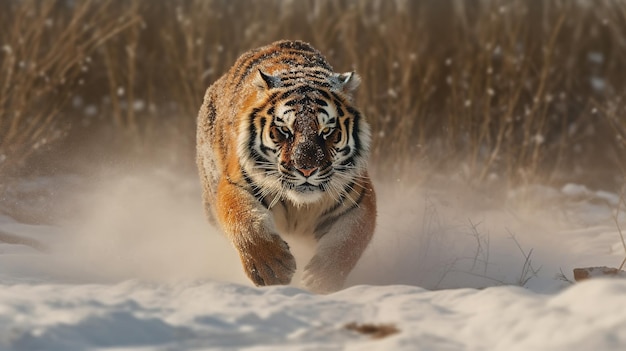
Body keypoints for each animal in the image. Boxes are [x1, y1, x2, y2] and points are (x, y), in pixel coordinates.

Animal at [195, 40, 376, 294]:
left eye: (327, 131)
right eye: (284, 130)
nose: (306, 169)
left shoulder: (358, 200)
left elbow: (348, 242)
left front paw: (321, 280)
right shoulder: (236, 184)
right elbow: (245, 222)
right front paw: (272, 270)